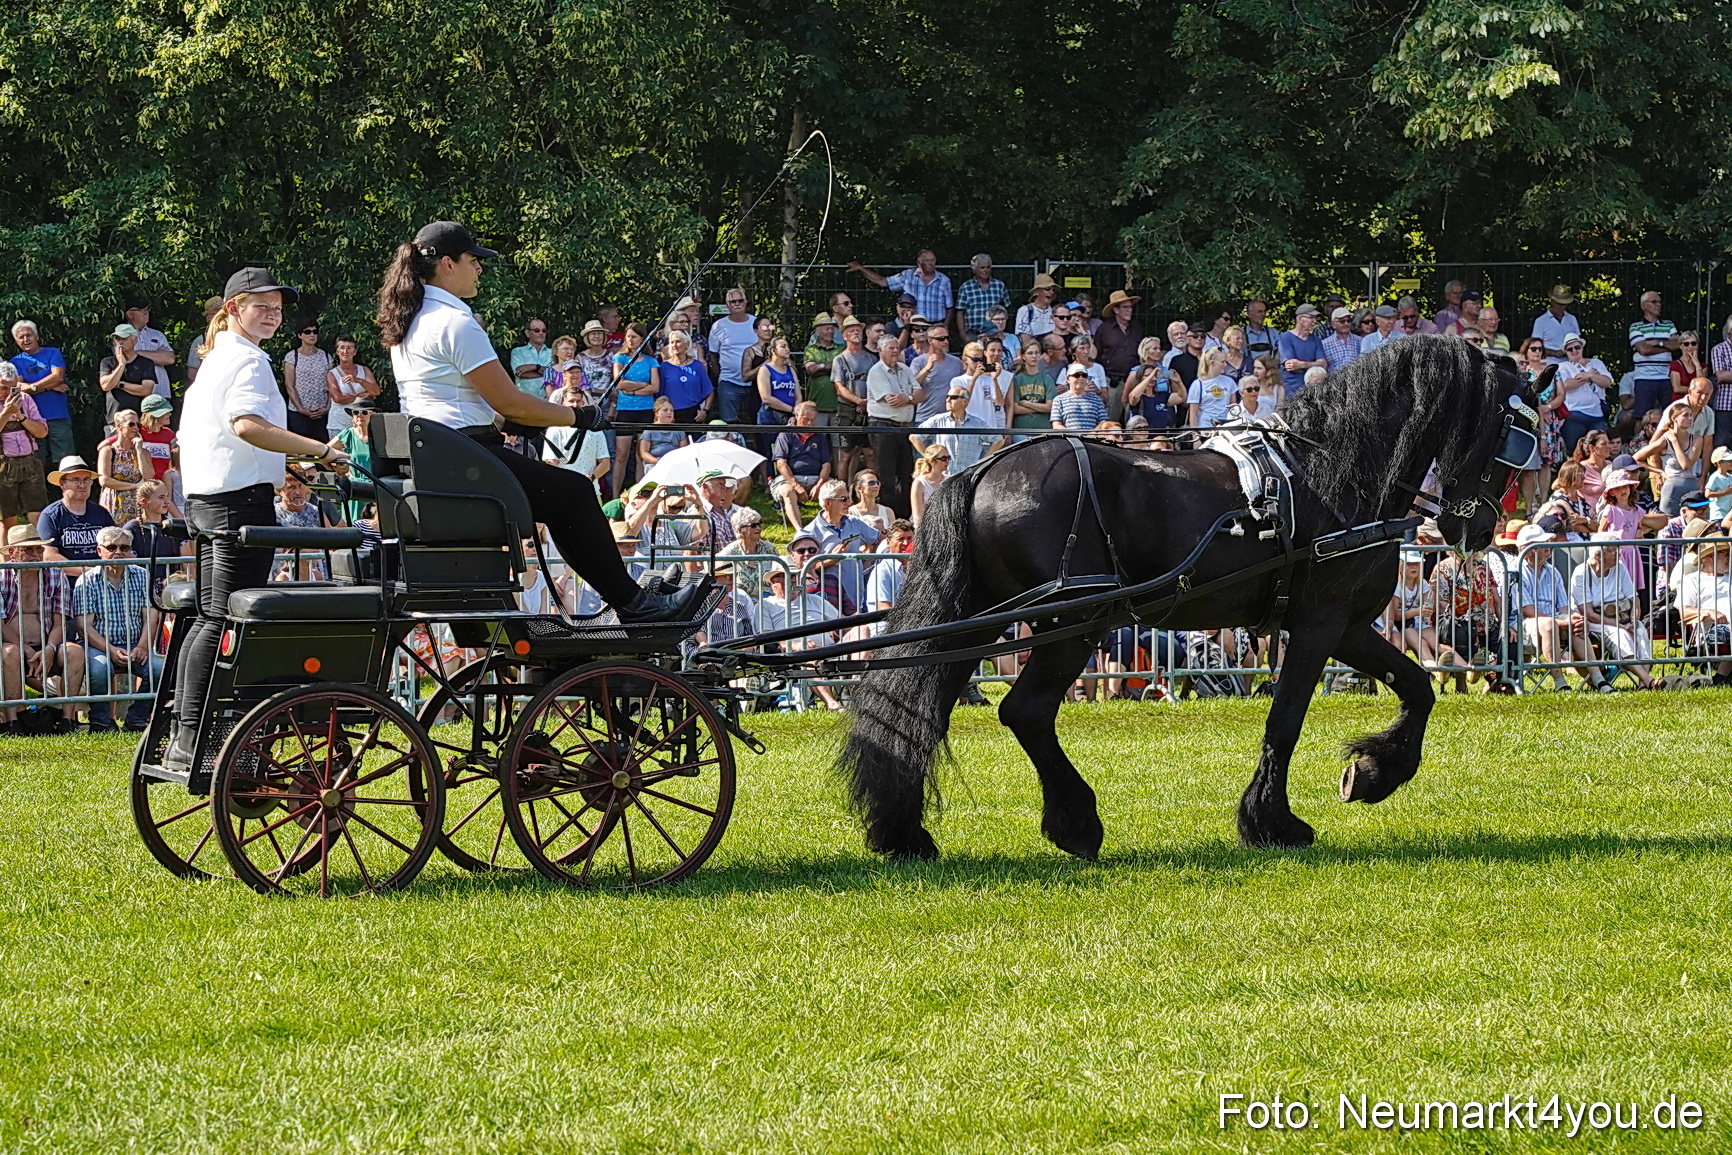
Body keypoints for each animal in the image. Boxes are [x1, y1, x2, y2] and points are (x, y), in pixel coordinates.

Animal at [837, 337, 1546, 860]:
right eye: (1517, 432)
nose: (1481, 528)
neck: (1332, 475)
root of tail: (983, 470)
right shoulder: (1318, 623)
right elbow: (1285, 719)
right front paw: (1273, 821)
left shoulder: (1345, 625)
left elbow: (1417, 687)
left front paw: (1372, 773)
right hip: (1075, 622)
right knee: (1027, 711)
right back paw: (1076, 823)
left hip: (982, 620)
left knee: (919, 712)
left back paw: (906, 832)